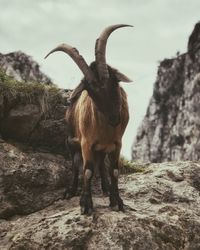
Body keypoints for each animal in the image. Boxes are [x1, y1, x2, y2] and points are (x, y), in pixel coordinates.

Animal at [45, 23, 133, 215]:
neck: (106, 129)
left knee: (101, 165)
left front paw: (117, 201)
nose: (114, 117)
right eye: (90, 91)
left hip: (101, 148)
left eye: (113, 82)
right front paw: (86, 204)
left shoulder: (117, 143)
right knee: (75, 165)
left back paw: (105, 188)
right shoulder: (86, 143)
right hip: (71, 141)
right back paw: (70, 191)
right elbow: (87, 171)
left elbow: (114, 171)